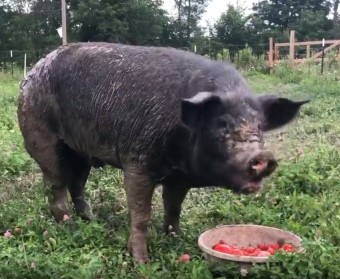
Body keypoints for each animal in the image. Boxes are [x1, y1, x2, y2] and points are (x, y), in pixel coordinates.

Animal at [16, 42, 308, 264]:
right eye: (221, 124)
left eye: (260, 126)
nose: (263, 157)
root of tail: (32, 72)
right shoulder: (138, 161)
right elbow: (142, 214)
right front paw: (141, 262)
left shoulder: (180, 177)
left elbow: (174, 207)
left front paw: (177, 239)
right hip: (41, 137)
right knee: (55, 185)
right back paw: (68, 226)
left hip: (81, 152)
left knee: (77, 184)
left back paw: (91, 220)